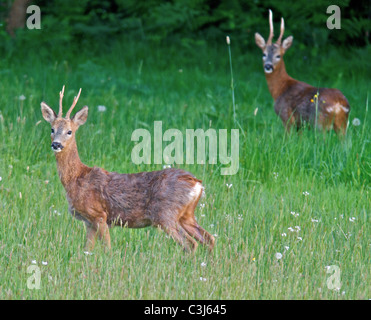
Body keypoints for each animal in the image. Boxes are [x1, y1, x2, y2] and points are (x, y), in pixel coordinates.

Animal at [40, 87, 215, 252]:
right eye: (52, 129)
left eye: (69, 131)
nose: (56, 144)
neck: (76, 178)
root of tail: (196, 183)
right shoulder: (89, 221)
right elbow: (86, 250)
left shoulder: (99, 215)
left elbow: (108, 248)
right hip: (186, 216)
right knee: (209, 239)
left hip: (166, 215)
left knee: (191, 244)